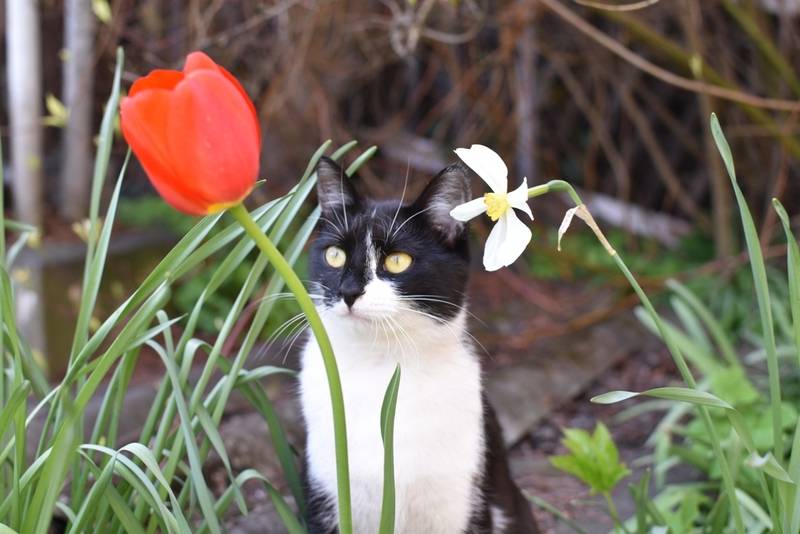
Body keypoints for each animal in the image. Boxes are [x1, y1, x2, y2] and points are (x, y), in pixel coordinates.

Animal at [296, 156, 540, 534]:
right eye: (335, 255)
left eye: (397, 261)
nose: (348, 291)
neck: (380, 369)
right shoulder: (326, 493)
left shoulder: (460, 503)